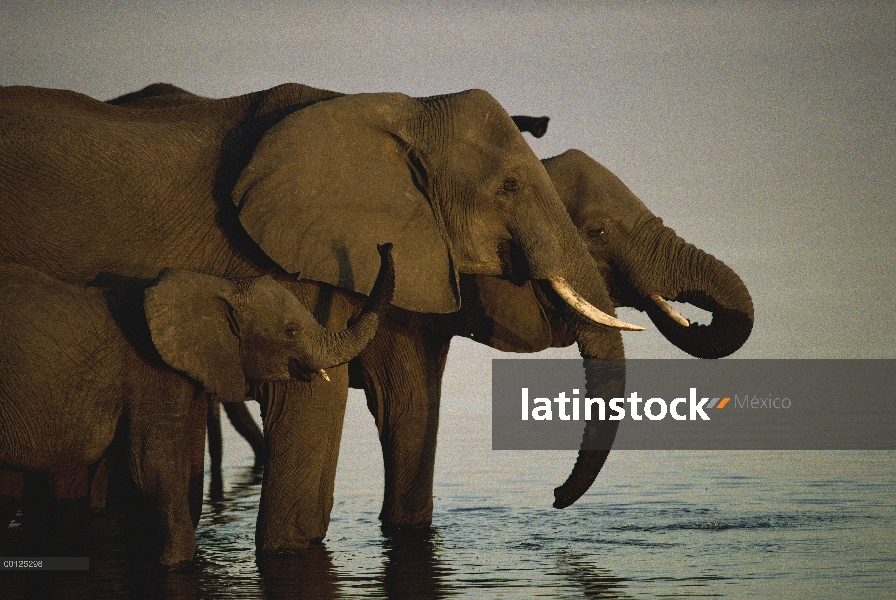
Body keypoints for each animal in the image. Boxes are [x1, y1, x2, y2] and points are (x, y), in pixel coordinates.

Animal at [0, 243, 396, 564]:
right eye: (291, 331)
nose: (384, 245)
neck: (218, 286)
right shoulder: (148, 371)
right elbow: (153, 466)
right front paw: (176, 562)